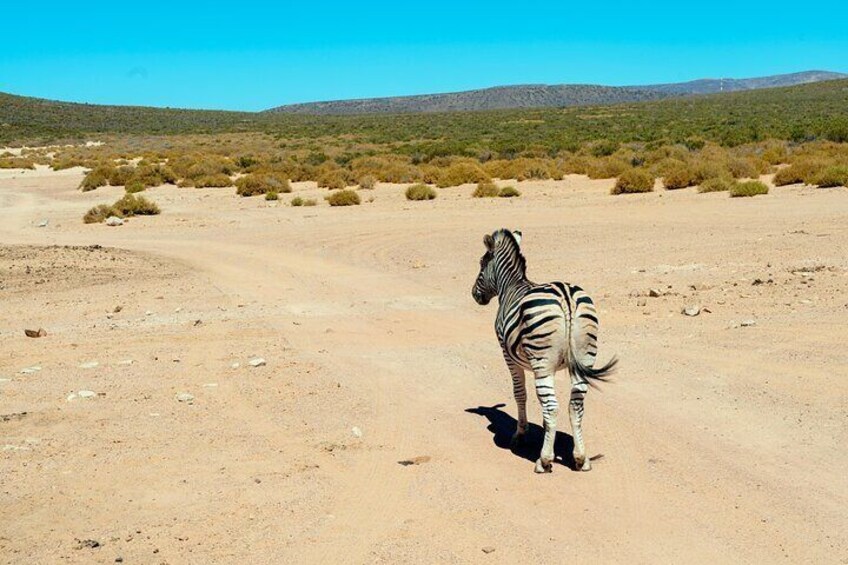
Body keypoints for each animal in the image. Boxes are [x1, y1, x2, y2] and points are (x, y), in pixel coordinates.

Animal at [471, 228, 617, 473]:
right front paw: (546, 430)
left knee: (551, 406)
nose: (474, 295)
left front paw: (521, 434)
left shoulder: (508, 355)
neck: (511, 285)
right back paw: (581, 458)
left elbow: (520, 393)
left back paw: (545, 460)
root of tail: (566, 297)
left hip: (541, 360)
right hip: (584, 355)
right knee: (575, 405)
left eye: (482, 264)